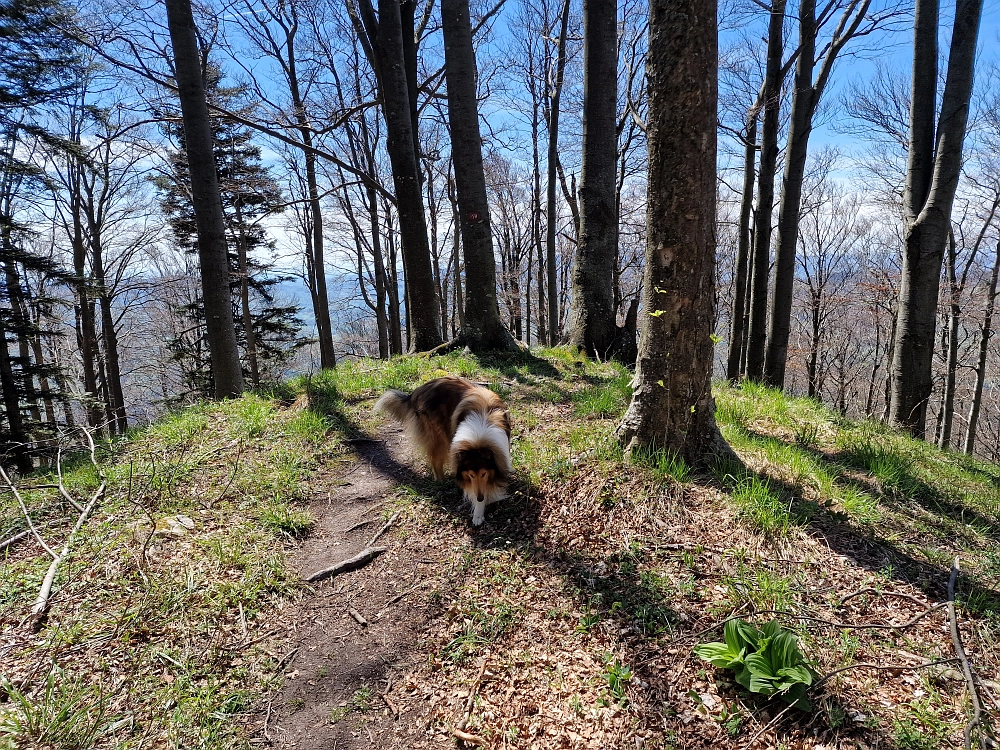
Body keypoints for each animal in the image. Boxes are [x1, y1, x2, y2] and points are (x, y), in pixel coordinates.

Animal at [376, 376, 516, 528]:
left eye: (484, 473)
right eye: (471, 475)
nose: (480, 497)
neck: (479, 437)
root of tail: (416, 392)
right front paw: (478, 512)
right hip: (438, 438)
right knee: (435, 461)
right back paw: (441, 482)